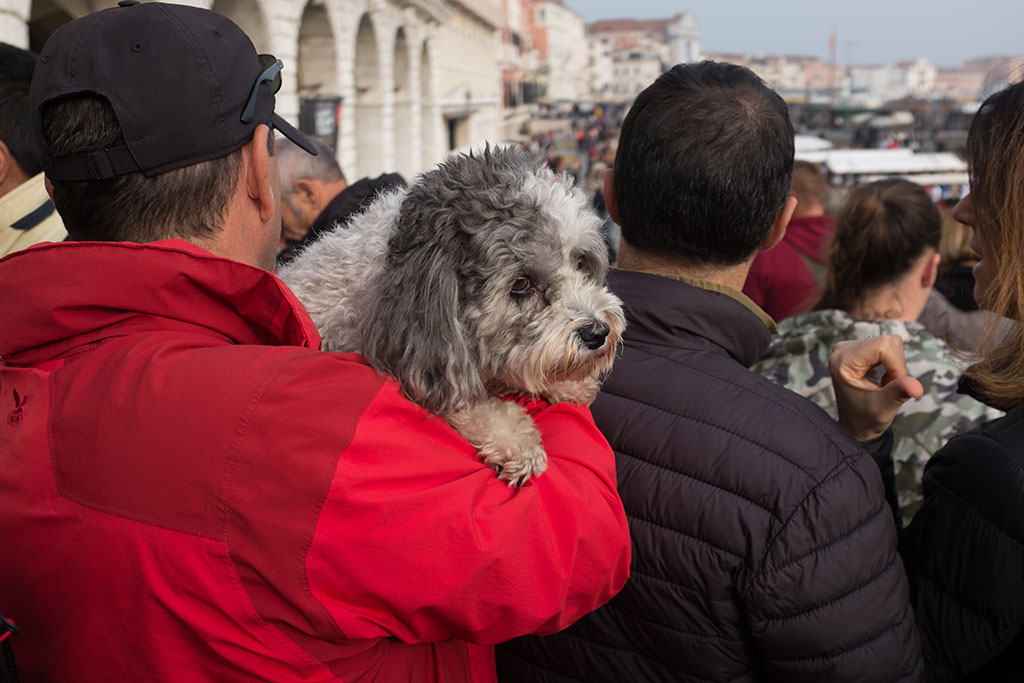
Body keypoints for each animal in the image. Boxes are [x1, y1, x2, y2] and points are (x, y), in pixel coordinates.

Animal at [276, 146, 622, 483]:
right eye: (521, 283)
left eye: (580, 261)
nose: (597, 332)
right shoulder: (424, 362)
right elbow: (465, 401)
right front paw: (516, 442)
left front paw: (567, 386)